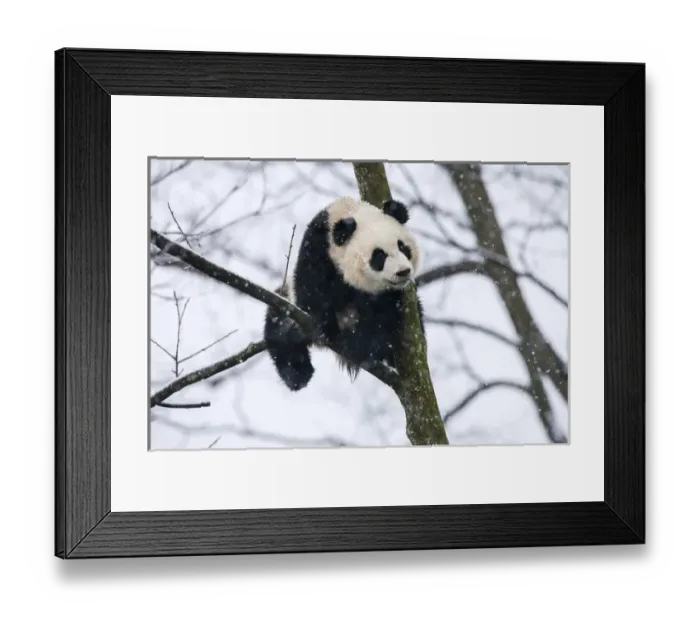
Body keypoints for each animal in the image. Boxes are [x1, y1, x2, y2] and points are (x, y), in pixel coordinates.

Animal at [263, 195, 425, 392]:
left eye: (403, 247)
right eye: (379, 255)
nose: (403, 272)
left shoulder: (393, 295)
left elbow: (385, 318)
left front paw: (358, 343)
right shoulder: (318, 245)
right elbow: (311, 287)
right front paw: (325, 325)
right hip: (288, 304)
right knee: (280, 331)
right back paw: (297, 373)